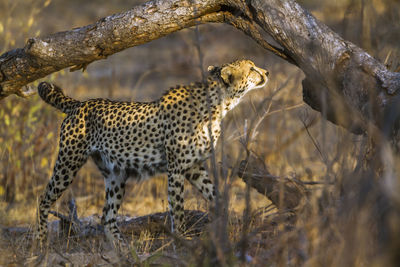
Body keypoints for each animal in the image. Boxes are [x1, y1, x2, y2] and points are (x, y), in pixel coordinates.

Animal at [36, 59, 268, 247]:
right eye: (252, 68)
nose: (266, 72)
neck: (220, 105)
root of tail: (80, 103)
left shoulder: (193, 167)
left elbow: (216, 196)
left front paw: (226, 222)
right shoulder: (176, 169)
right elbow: (178, 209)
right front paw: (181, 242)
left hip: (116, 173)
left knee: (107, 217)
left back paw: (124, 250)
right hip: (68, 163)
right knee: (43, 199)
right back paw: (40, 241)